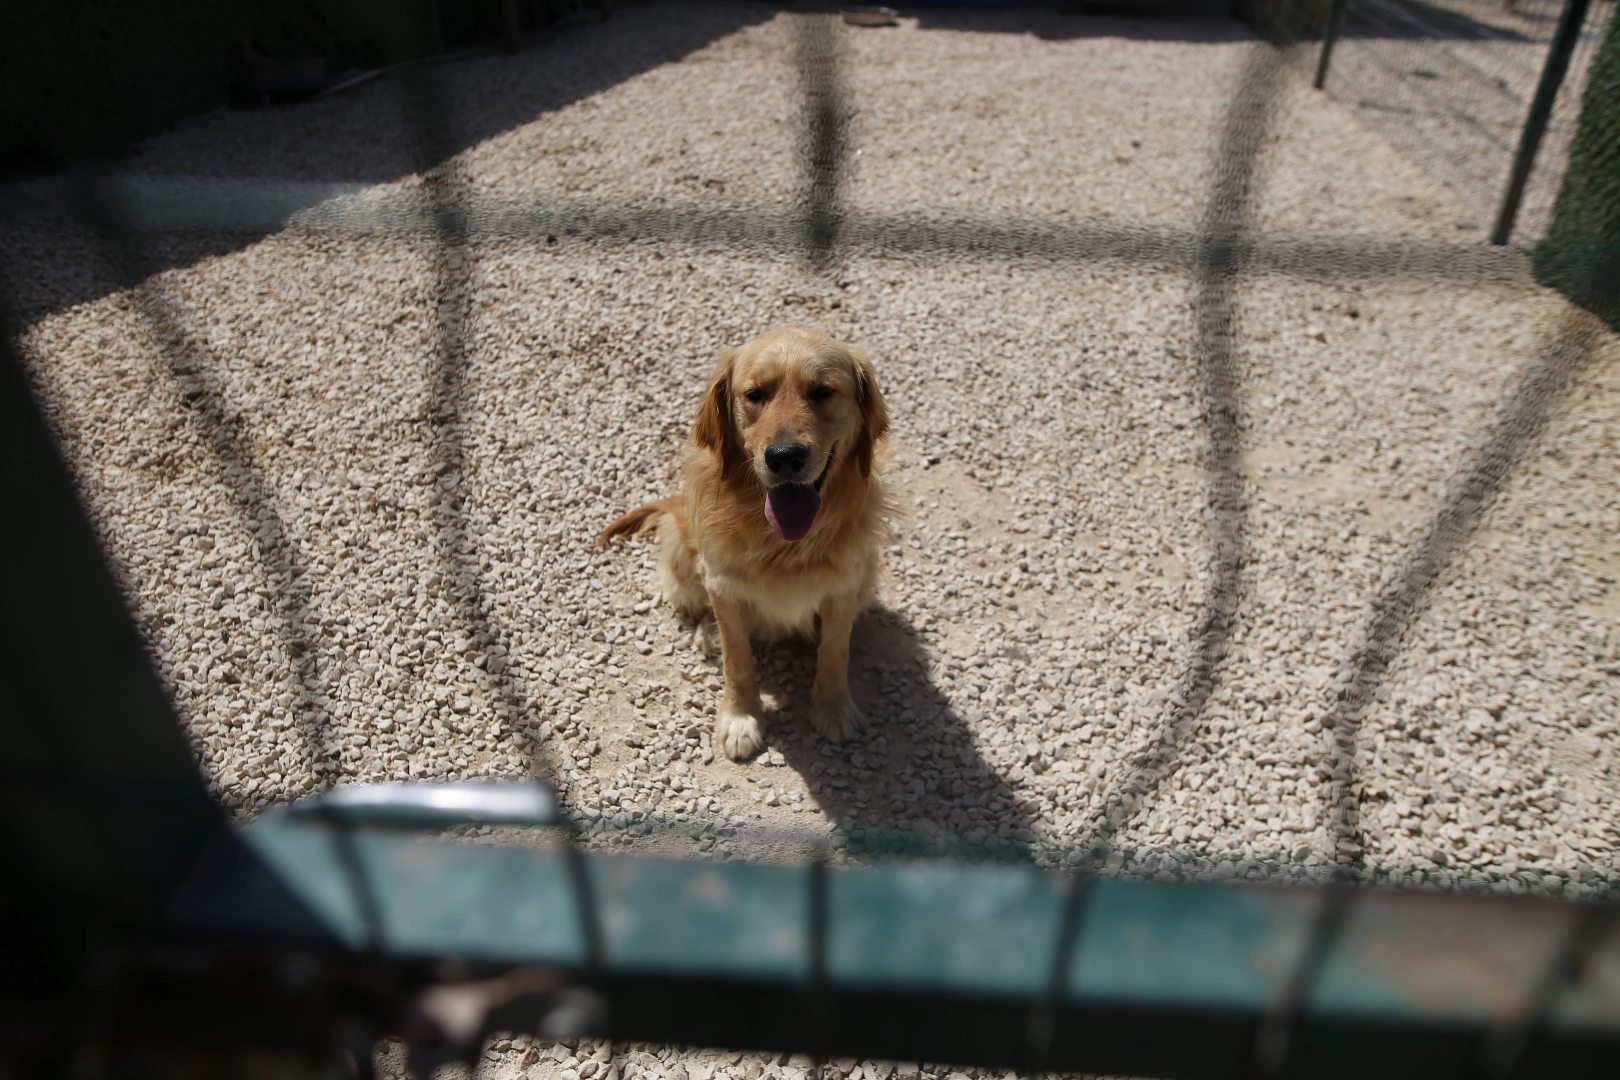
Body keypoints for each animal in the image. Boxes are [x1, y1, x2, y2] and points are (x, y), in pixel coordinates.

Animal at [599, 327, 894, 761]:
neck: (785, 543)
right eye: (755, 394)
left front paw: (833, 708)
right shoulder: (722, 585)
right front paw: (740, 718)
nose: (784, 457)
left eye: (823, 391)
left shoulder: (844, 587)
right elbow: (737, 658)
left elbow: (834, 652)